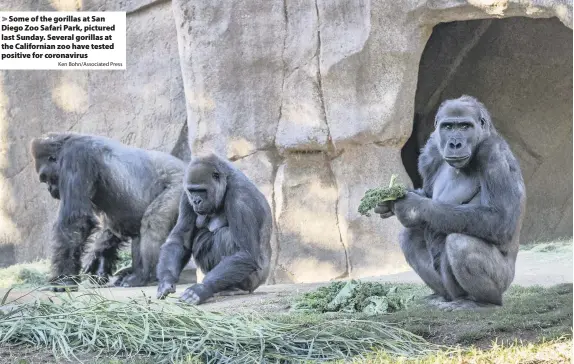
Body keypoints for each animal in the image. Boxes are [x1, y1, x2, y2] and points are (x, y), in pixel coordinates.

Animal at [30, 132, 186, 292]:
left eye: (46, 177)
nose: (50, 189)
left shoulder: (76, 156)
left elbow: (76, 221)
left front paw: (63, 279)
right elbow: (115, 225)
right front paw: (99, 258)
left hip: (180, 185)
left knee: (153, 221)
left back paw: (144, 274)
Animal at [156, 153, 274, 304]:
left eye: (202, 190)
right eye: (192, 191)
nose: (196, 201)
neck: (226, 181)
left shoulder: (241, 197)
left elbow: (245, 253)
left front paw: (201, 289)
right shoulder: (185, 196)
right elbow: (180, 241)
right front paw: (166, 281)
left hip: (255, 281)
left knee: (225, 236)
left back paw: (235, 288)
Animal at [376, 94, 528, 310]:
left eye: (465, 126)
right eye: (448, 127)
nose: (455, 144)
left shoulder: (494, 153)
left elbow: (500, 217)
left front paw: (412, 207)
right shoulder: (431, 150)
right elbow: (428, 193)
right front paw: (389, 200)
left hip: (505, 281)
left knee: (460, 243)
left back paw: (483, 302)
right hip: (448, 288)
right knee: (410, 236)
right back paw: (441, 296)